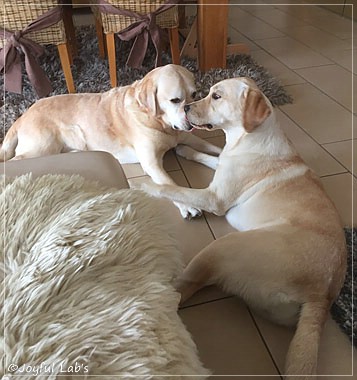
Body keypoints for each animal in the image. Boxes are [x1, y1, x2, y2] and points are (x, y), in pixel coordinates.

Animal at [0, 64, 221, 218]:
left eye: (194, 94)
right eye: (175, 100)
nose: (191, 121)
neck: (159, 122)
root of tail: (22, 115)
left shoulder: (188, 136)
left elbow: (212, 147)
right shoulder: (151, 163)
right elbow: (169, 183)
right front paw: (188, 206)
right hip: (42, 147)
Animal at [142, 78, 344, 380]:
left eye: (216, 96)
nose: (187, 107)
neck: (245, 138)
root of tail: (323, 296)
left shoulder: (214, 198)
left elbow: (175, 189)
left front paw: (146, 185)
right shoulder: (222, 166)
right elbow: (209, 157)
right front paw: (186, 150)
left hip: (224, 246)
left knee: (183, 288)